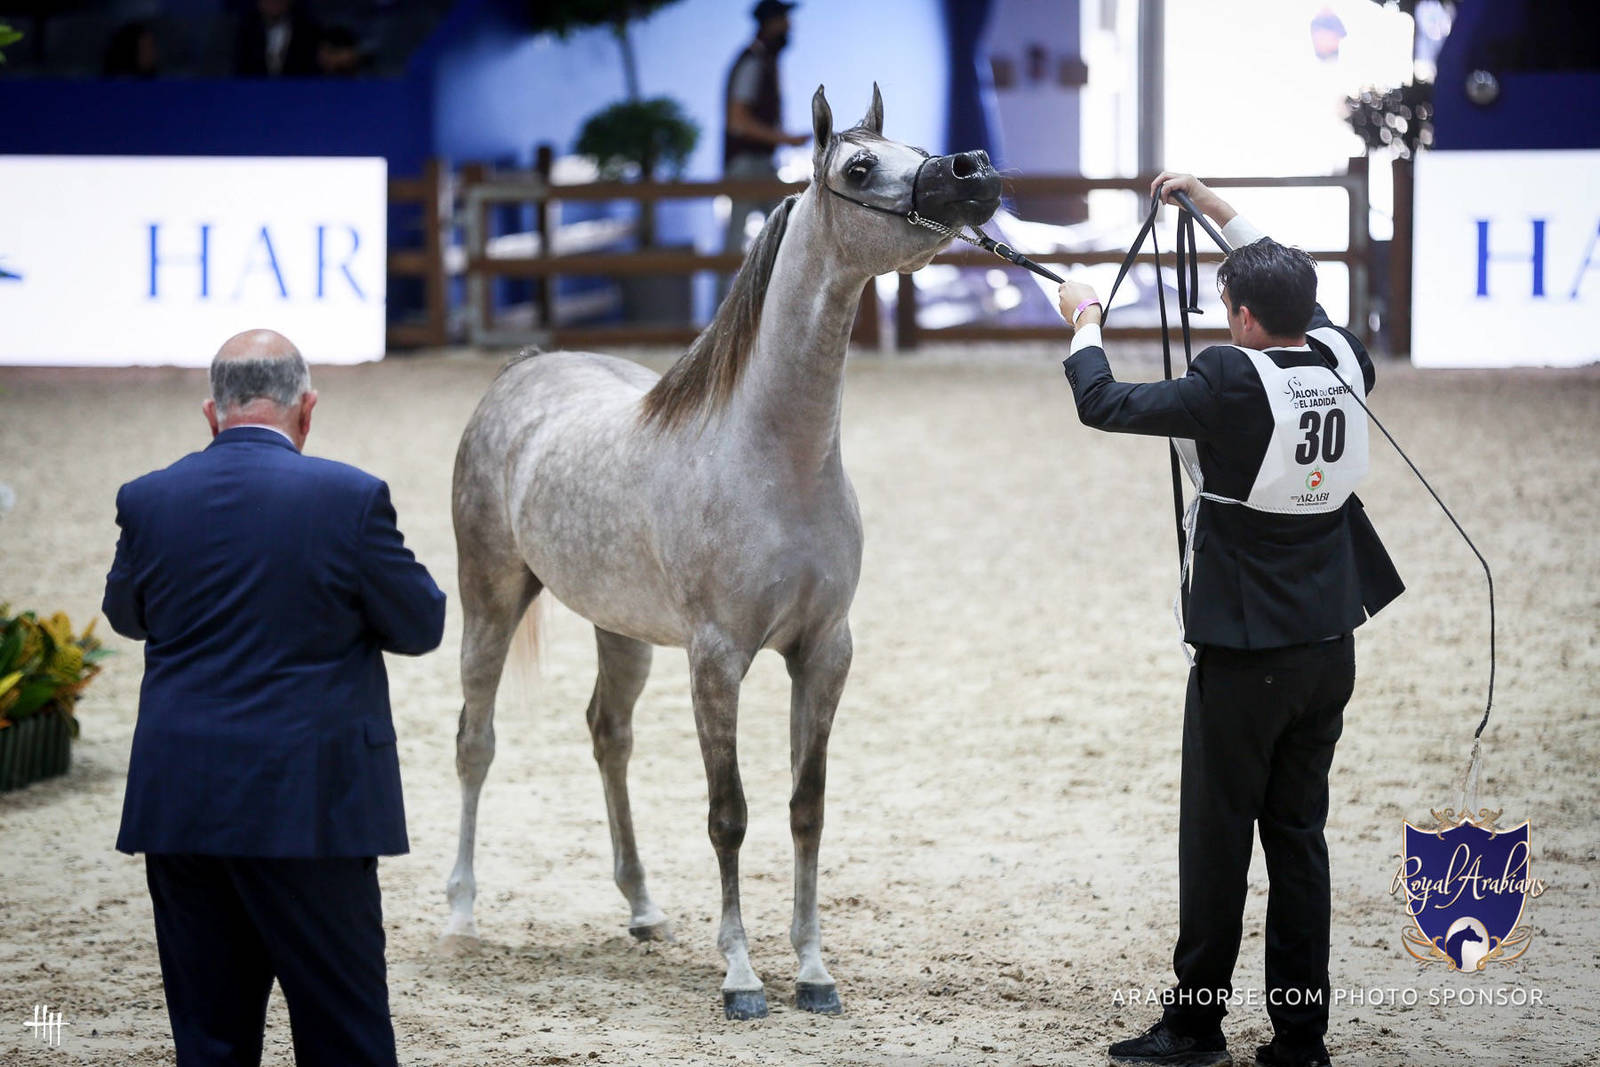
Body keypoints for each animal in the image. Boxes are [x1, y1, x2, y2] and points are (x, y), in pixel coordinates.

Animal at [444, 84, 1001, 1020]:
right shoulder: (717, 659)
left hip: (621, 629)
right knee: (474, 739)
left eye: (915, 148)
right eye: (859, 167)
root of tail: (522, 369)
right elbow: (728, 812)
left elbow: (807, 806)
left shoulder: (826, 651)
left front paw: (813, 969)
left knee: (609, 735)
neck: (776, 460)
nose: (972, 173)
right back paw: (460, 912)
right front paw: (741, 975)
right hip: (490, 597)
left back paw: (642, 907)